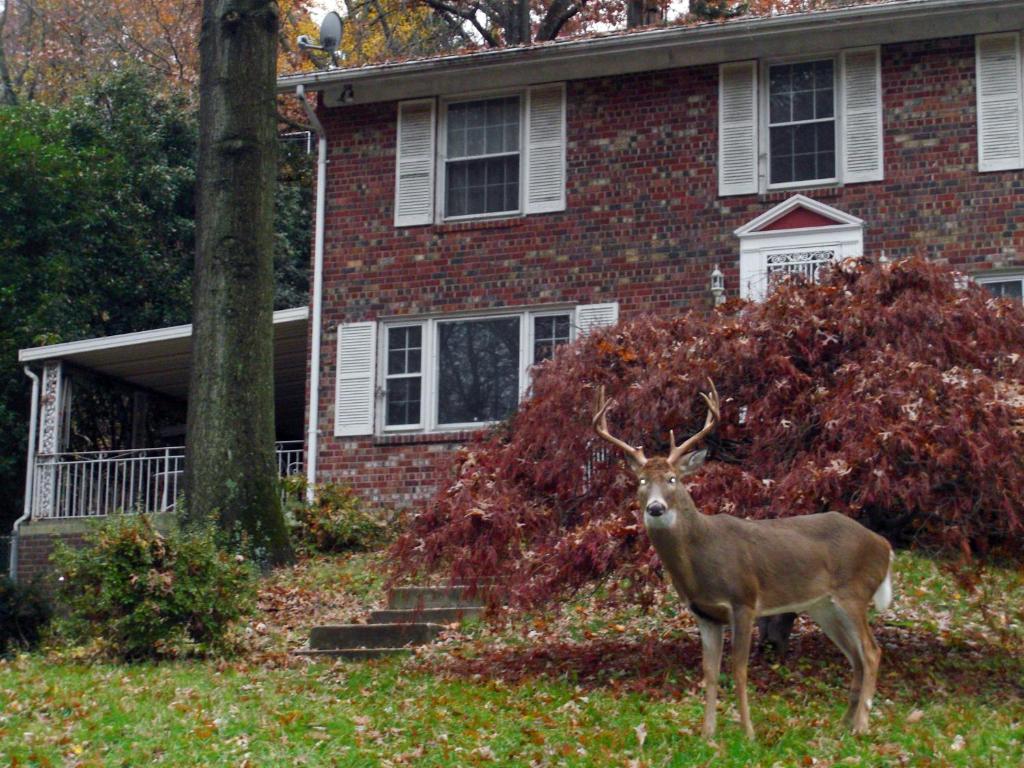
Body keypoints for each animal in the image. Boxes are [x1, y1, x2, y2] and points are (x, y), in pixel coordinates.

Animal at [598, 382, 892, 741]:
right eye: (641, 481)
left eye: (672, 479)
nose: (655, 508)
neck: (701, 556)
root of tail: (884, 544)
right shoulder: (705, 614)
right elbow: (710, 671)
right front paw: (707, 734)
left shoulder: (744, 600)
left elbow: (738, 669)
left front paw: (748, 732)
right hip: (824, 606)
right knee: (856, 657)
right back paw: (844, 724)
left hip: (854, 592)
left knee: (872, 652)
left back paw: (861, 726)